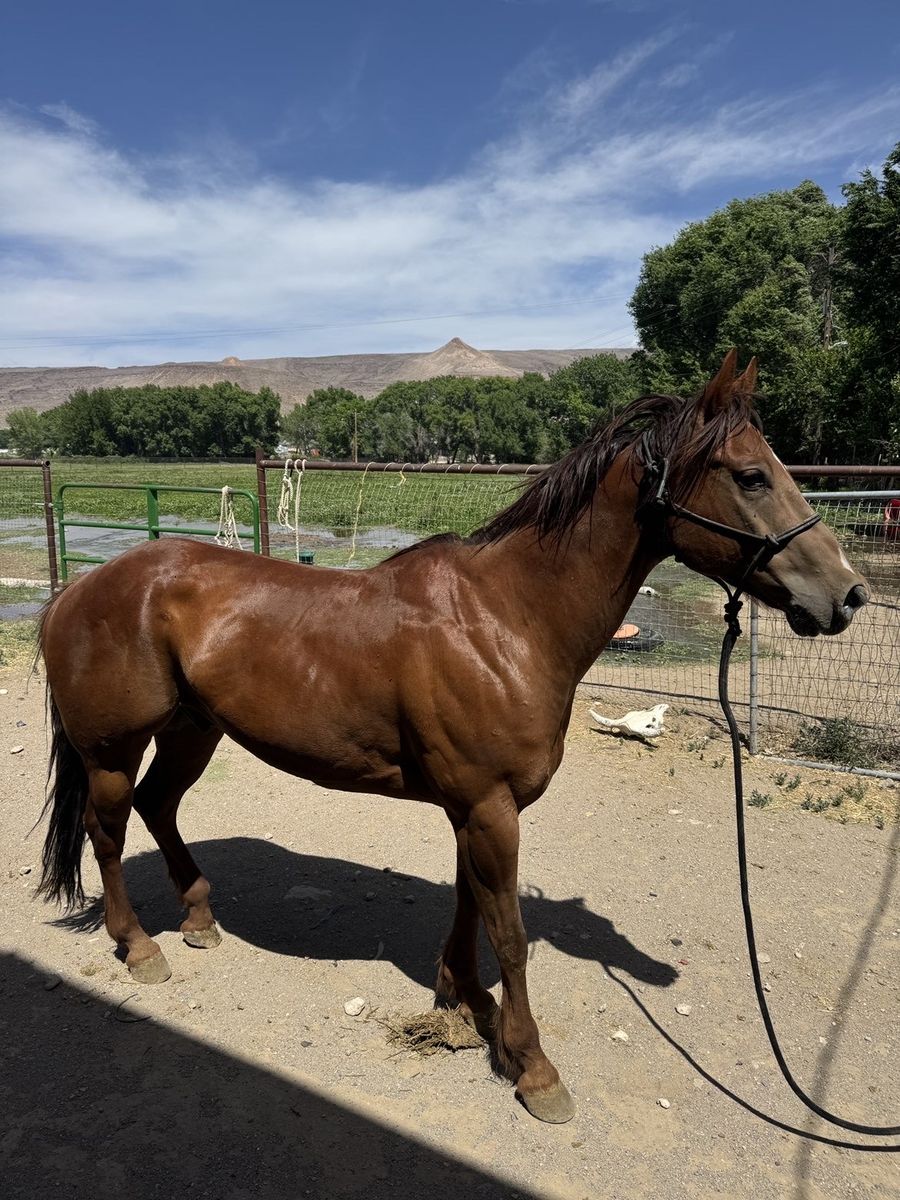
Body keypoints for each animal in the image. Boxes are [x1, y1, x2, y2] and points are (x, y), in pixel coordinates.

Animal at [36, 351, 868, 1124]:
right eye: (751, 476)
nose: (849, 594)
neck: (506, 620)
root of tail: (78, 587)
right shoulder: (490, 808)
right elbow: (510, 933)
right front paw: (533, 1067)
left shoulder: (477, 808)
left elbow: (471, 906)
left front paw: (465, 1004)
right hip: (112, 750)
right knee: (107, 832)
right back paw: (140, 947)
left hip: (193, 731)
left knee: (159, 806)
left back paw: (201, 921)